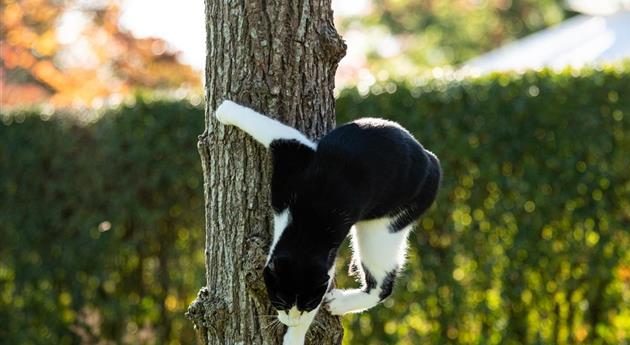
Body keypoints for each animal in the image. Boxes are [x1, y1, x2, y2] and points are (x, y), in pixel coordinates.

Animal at [215, 100, 442, 344]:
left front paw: (294, 337)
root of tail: (432, 162)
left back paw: (341, 303)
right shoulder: (295, 153)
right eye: (282, 304)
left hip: (386, 227)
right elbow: (265, 126)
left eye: (306, 307)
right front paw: (225, 109)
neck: (308, 227)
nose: (290, 321)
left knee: (383, 284)